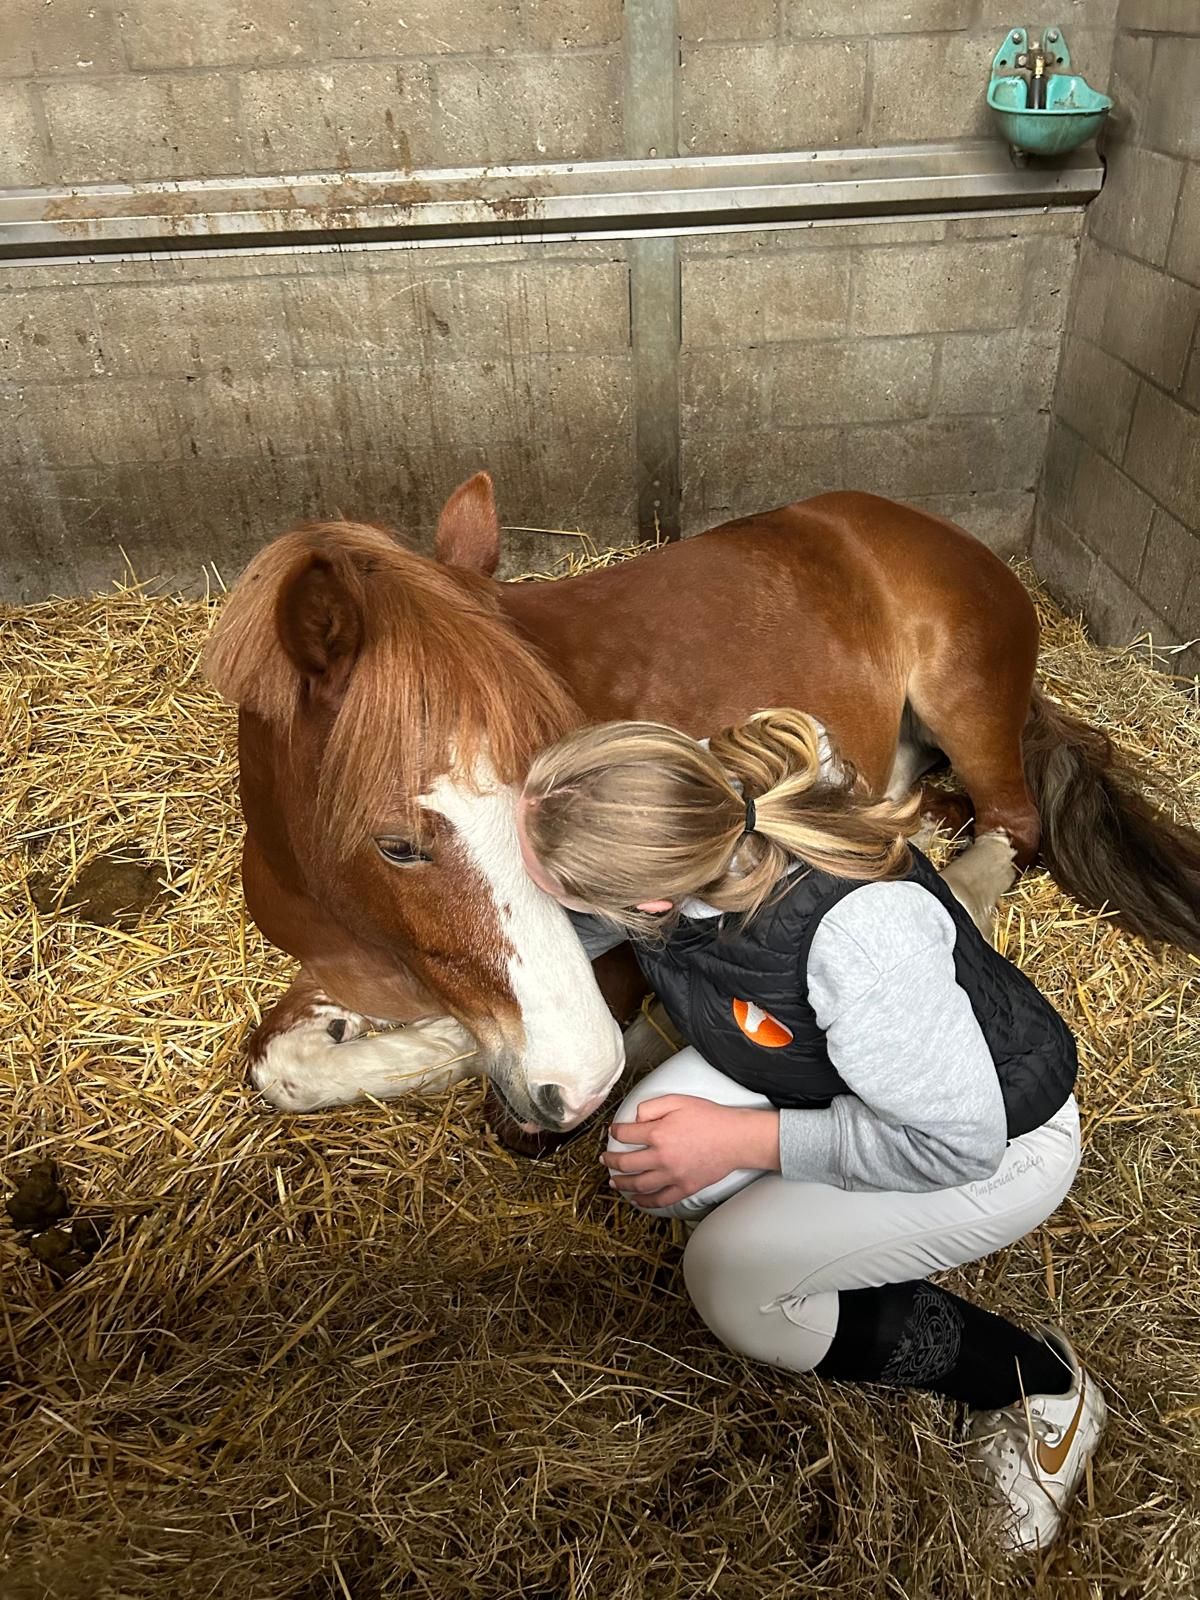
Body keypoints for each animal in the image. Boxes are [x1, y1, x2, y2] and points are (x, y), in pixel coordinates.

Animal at [205, 476, 1200, 1134]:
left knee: (1010, 828)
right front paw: (368, 1035)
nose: (578, 1079)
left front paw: (452, 1048)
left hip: (968, 703)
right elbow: (279, 1063)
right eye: (397, 846)